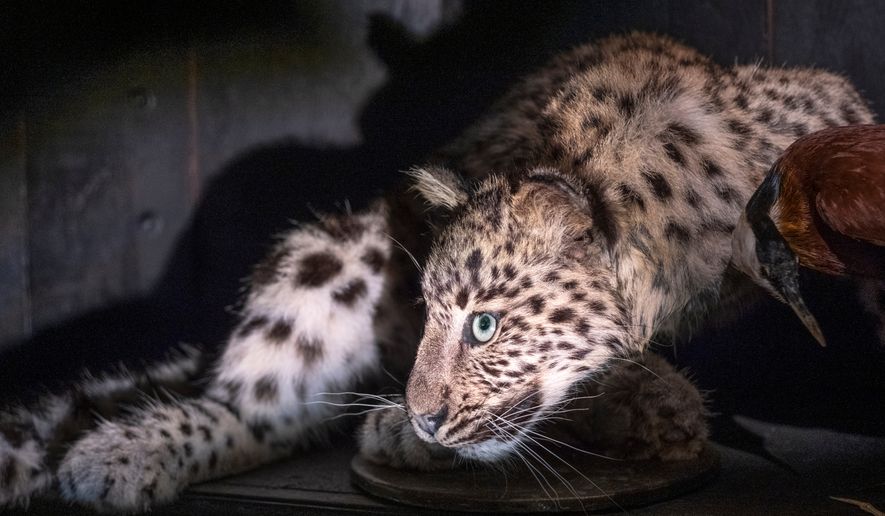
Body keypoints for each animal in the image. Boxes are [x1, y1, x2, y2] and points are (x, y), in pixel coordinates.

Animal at [0, 32, 877, 512]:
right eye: (432, 314)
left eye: (484, 325)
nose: (423, 416)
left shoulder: (833, 113)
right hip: (332, 255)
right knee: (248, 409)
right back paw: (120, 458)